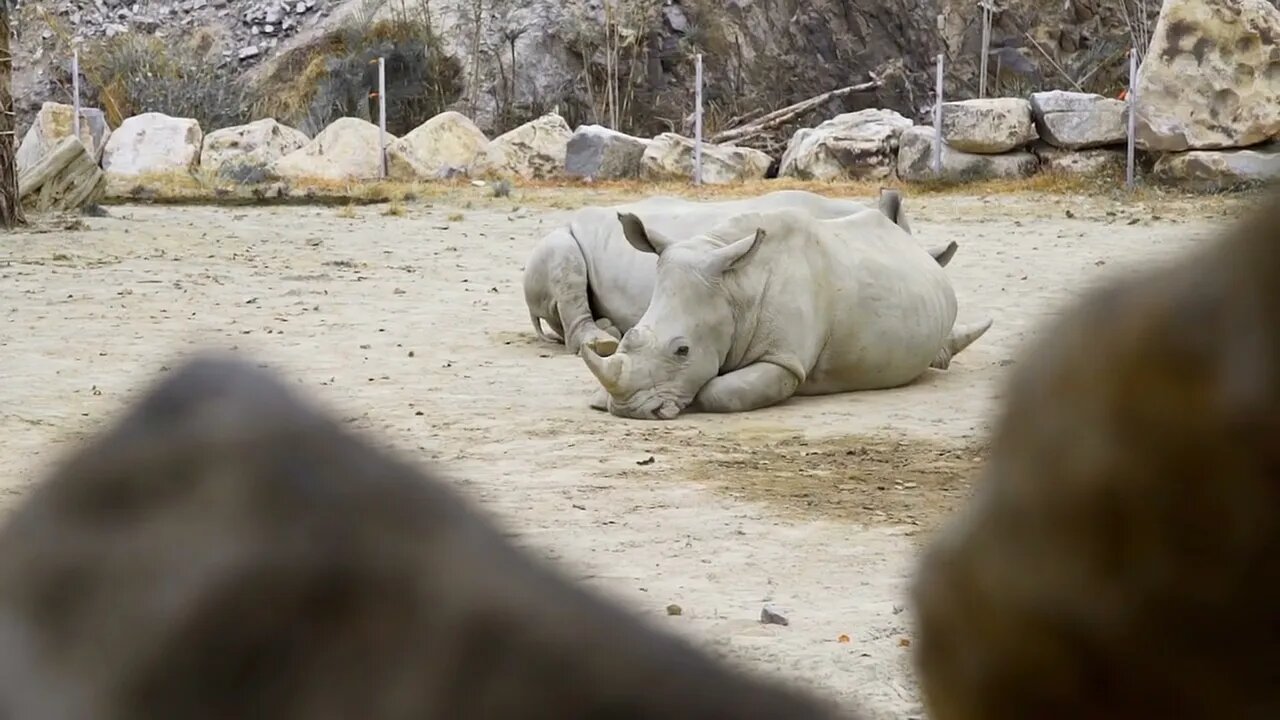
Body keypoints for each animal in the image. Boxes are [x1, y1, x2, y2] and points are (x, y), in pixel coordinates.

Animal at [581, 202, 988, 417]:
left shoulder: (784, 360)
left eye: (683, 350)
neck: (734, 288)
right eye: (626, 339)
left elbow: (719, 392)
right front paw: (602, 399)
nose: (630, 408)